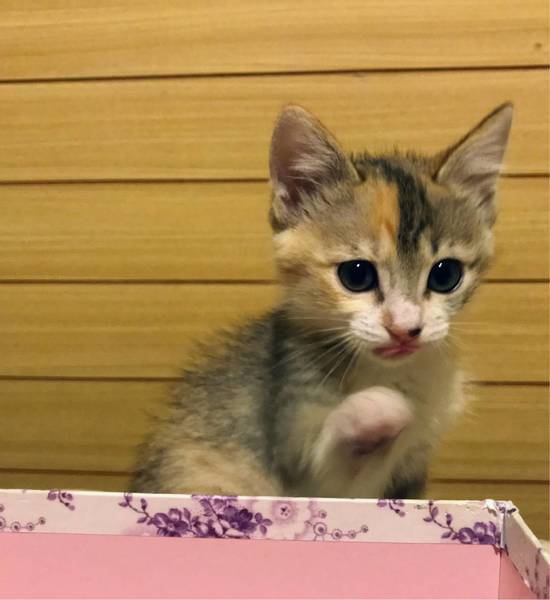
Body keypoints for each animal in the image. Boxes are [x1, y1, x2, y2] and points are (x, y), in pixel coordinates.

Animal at [132, 102, 513, 499]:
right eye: (356, 275)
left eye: (445, 275)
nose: (405, 329)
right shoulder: (298, 445)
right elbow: (354, 440)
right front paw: (389, 405)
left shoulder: (410, 476)